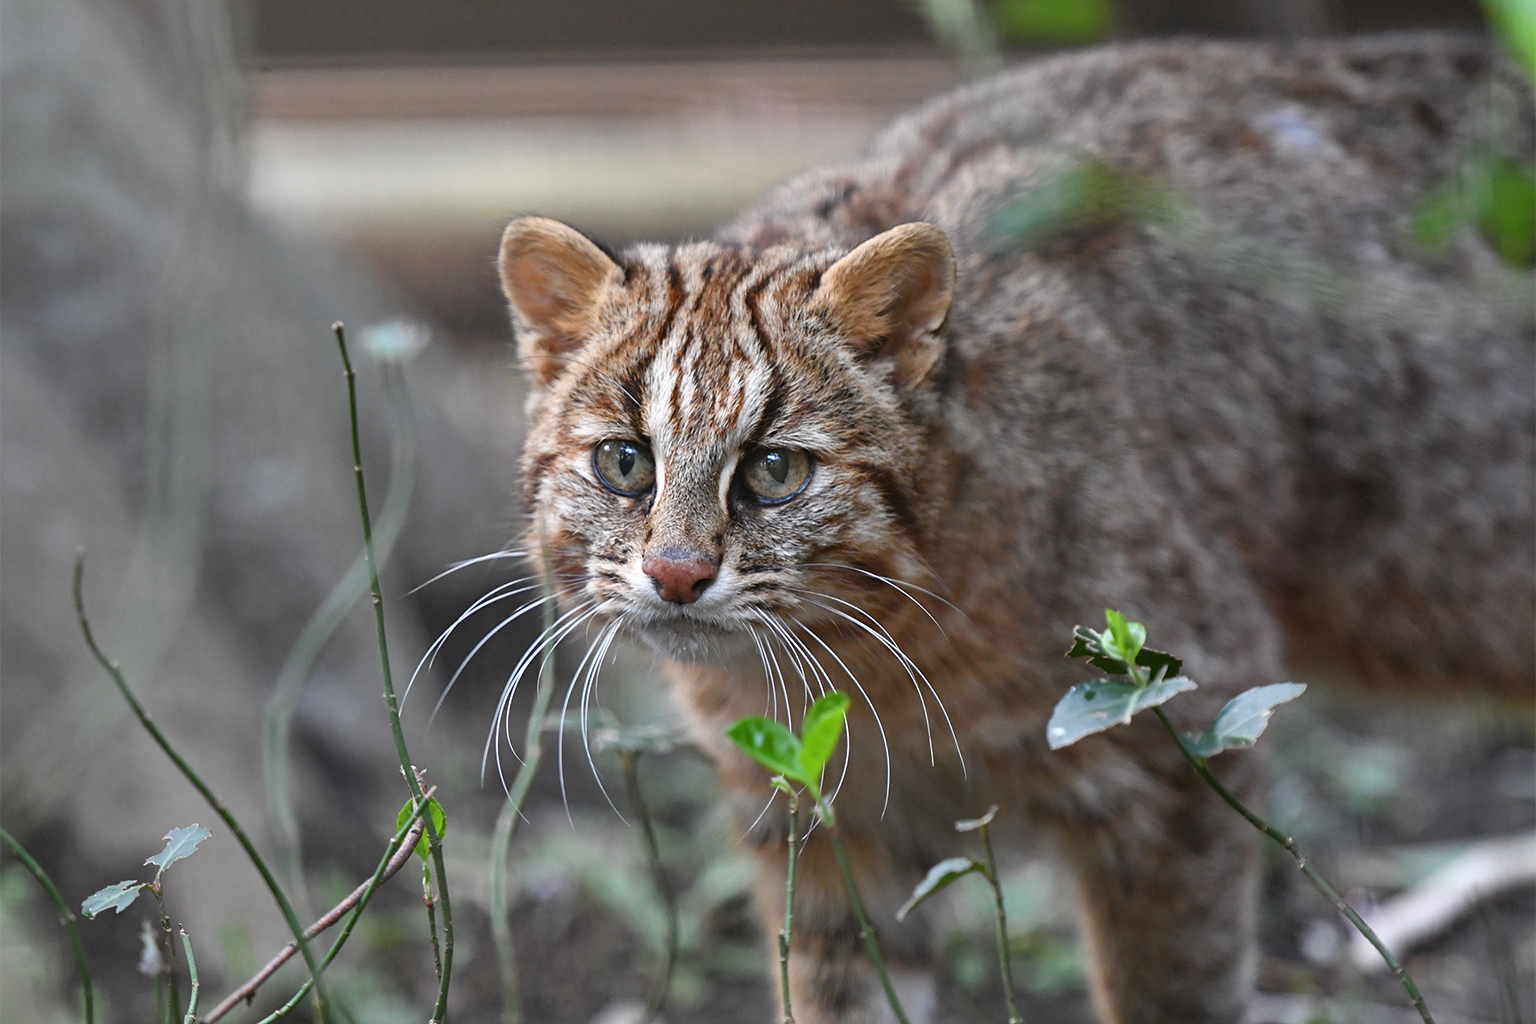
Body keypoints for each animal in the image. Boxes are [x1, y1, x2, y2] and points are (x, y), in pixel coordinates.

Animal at [497, 32, 1529, 1024]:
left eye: (776, 471)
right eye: (624, 464)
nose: (676, 574)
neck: (869, 661)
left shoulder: (1174, 753)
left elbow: (1173, 994)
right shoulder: (820, 820)